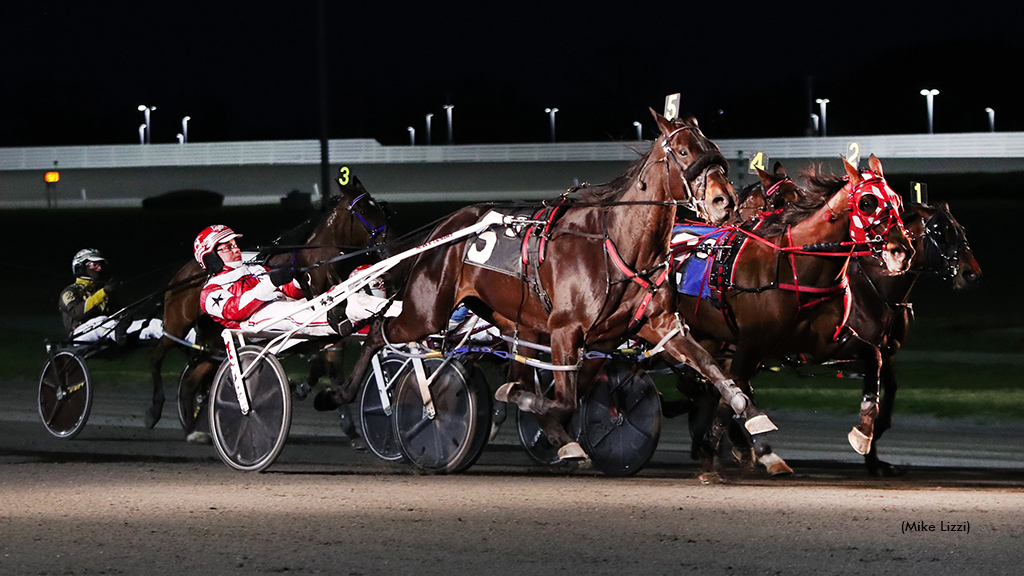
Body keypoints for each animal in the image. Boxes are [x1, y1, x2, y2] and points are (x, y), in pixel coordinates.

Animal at [675, 153, 917, 475]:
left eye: (898, 200)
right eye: (867, 202)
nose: (901, 252)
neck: (797, 267)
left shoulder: (824, 343)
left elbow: (874, 359)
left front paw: (864, 433)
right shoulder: (751, 343)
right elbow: (734, 393)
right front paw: (719, 452)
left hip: (707, 336)